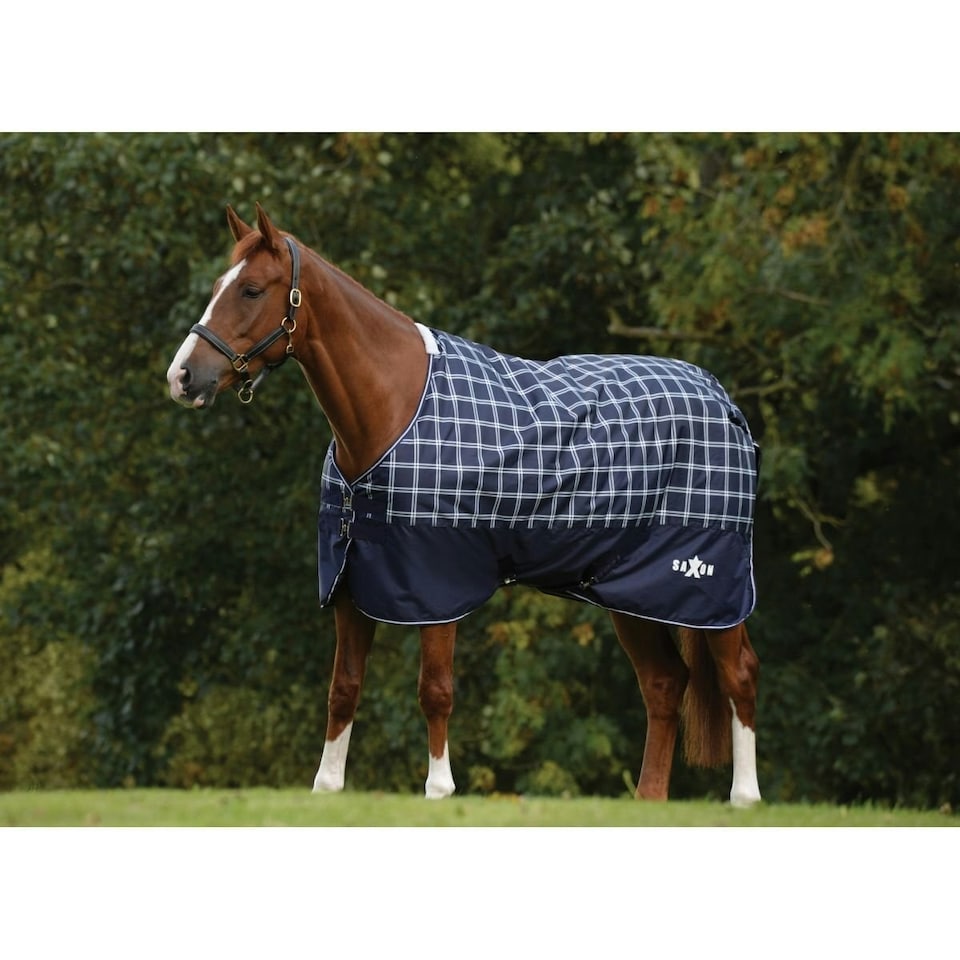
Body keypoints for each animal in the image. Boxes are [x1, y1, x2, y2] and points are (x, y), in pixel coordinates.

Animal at [167, 203, 762, 806]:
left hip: (710, 582)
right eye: (217, 287)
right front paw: (327, 788)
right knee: (664, 683)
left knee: (739, 674)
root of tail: (723, 402)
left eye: (251, 290)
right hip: (631, 589)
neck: (394, 406)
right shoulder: (351, 581)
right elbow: (343, 688)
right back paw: (649, 800)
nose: (182, 377)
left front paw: (439, 790)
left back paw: (745, 799)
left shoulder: (438, 581)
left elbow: (436, 689)